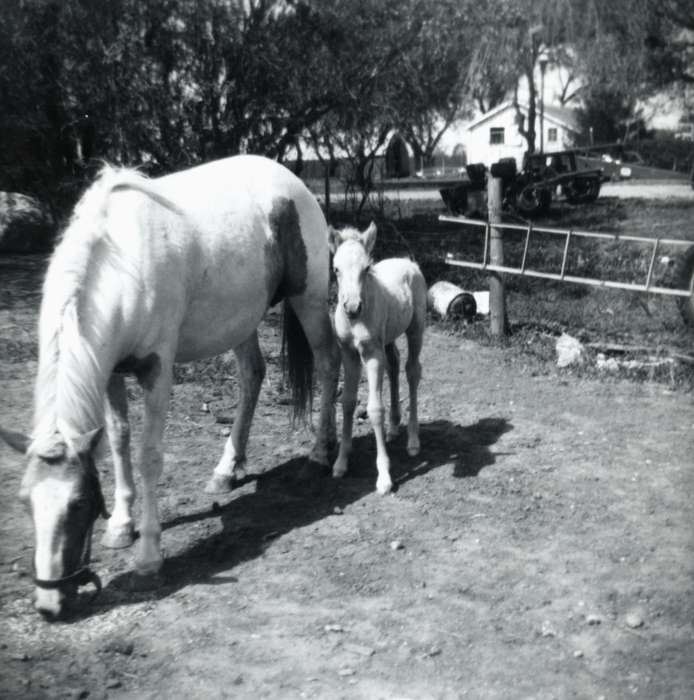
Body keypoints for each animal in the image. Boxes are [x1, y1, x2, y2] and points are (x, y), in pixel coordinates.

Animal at [0, 156, 338, 620]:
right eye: (25, 502)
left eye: (79, 503)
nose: (50, 605)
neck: (120, 264)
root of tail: (291, 181)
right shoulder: (109, 370)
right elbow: (119, 441)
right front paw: (121, 526)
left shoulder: (157, 371)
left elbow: (148, 456)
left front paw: (148, 558)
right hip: (240, 319)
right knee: (252, 375)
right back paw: (226, 470)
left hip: (310, 299)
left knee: (327, 364)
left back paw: (320, 456)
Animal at [328, 223, 426, 492]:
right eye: (336, 269)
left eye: (366, 268)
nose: (352, 307)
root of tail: (407, 261)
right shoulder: (348, 353)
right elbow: (348, 402)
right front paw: (341, 463)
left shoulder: (372, 354)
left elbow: (374, 409)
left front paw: (384, 476)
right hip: (388, 338)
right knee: (394, 363)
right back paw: (393, 428)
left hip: (416, 328)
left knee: (412, 370)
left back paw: (413, 440)